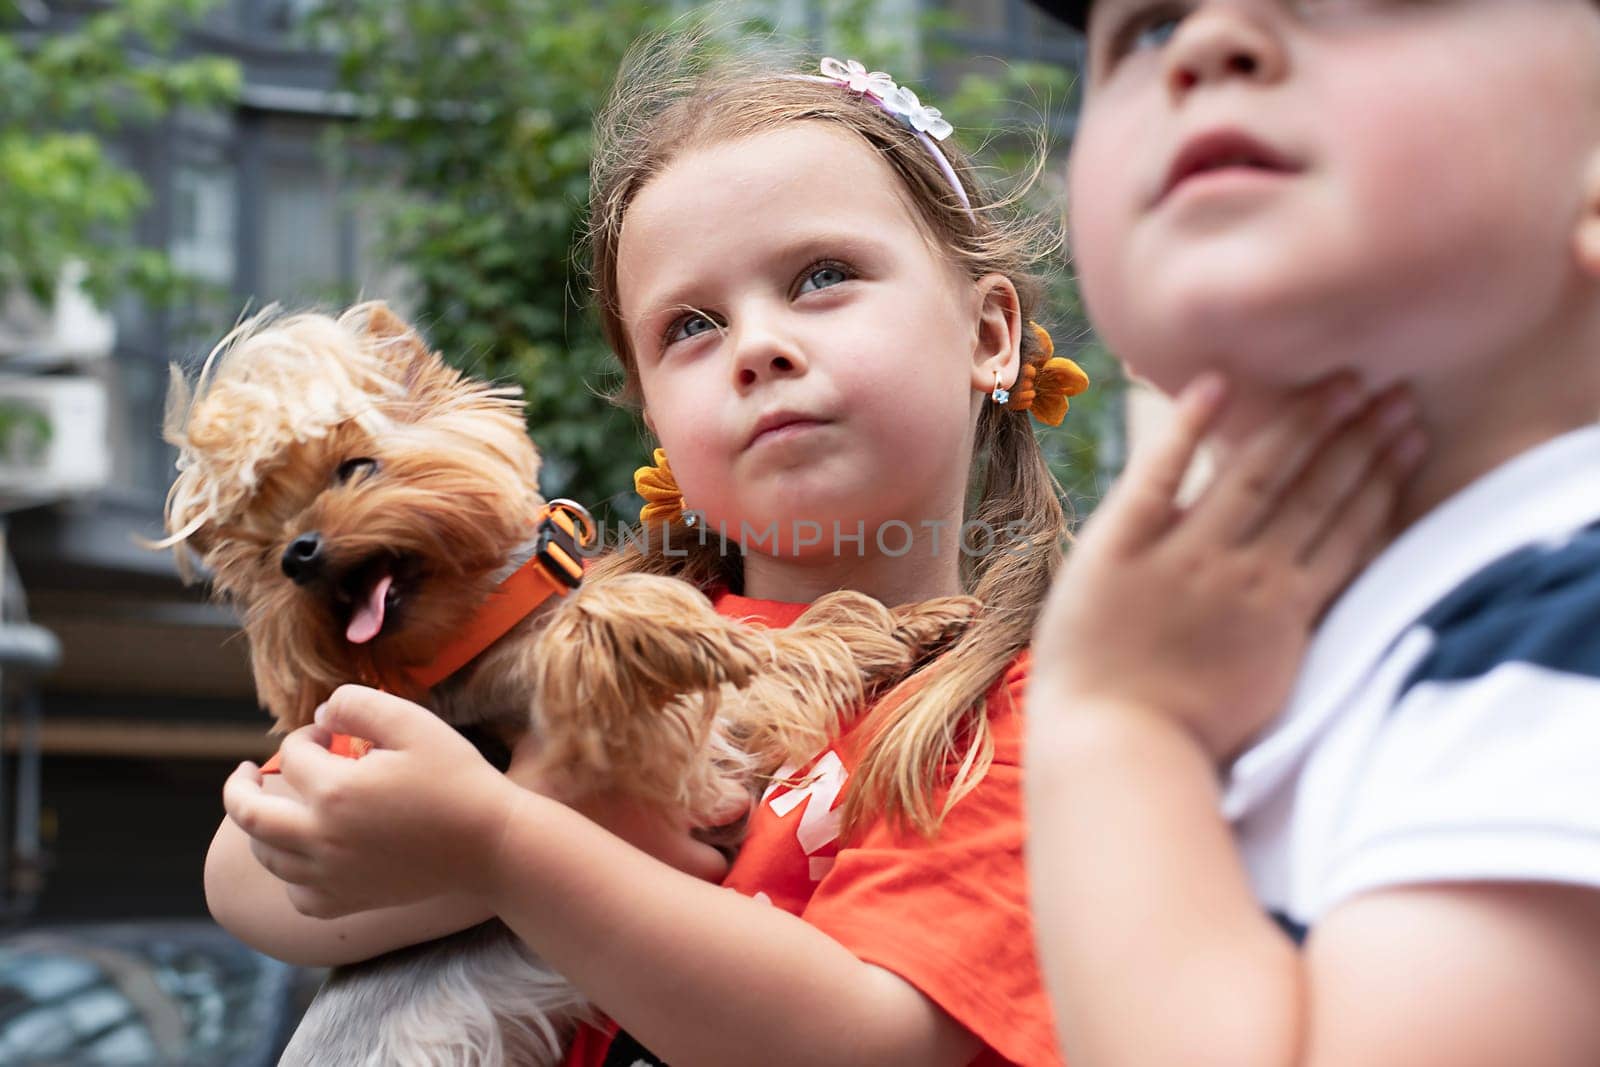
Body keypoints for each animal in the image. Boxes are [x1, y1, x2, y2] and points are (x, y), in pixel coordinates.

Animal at [156, 303, 972, 1062]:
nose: (295, 553)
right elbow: (673, 643)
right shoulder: (662, 748)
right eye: (260, 540)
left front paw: (917, 617)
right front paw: (680, 627)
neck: (483, 621)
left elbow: (790, 645)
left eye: (354, 467)